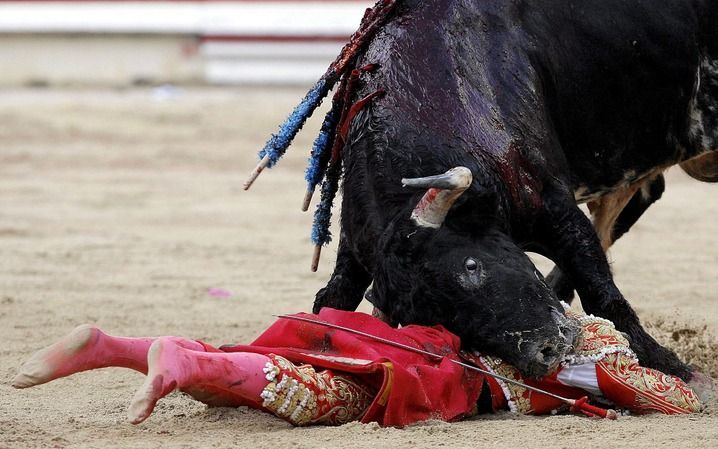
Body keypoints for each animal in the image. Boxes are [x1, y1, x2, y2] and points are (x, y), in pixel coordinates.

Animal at [310, 0, 718, 382]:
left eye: (471, 265)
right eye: (436, 322)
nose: (545, 350)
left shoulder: (553, 205)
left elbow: (598, 283)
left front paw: (675, 369)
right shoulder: (357, 244)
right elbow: (333, 297)